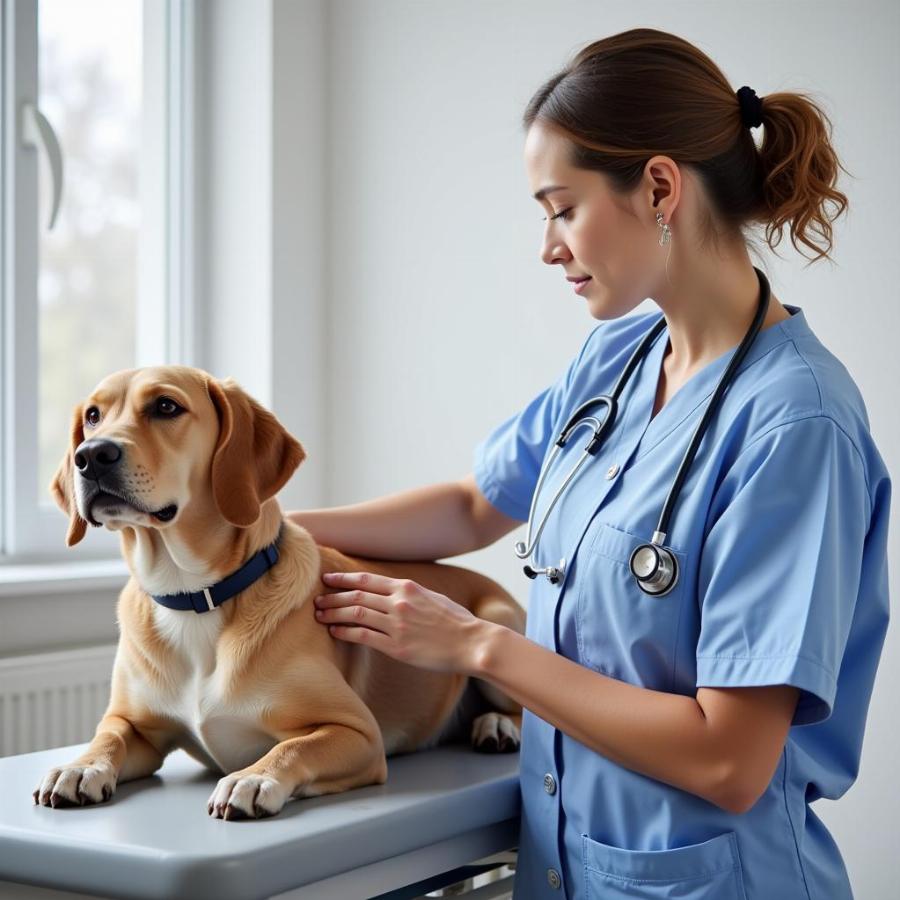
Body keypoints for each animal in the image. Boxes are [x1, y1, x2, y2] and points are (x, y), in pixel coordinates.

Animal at [33, 362, 528, 820]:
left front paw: (253, 777)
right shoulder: (134, 723)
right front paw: (80, 766)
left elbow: (294, 747)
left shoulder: (356, 731)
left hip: (494, 620)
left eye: (166, 406)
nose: (91, 455)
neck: (195, 598)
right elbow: (108, 735)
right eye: (93, 415)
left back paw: (497, 725)